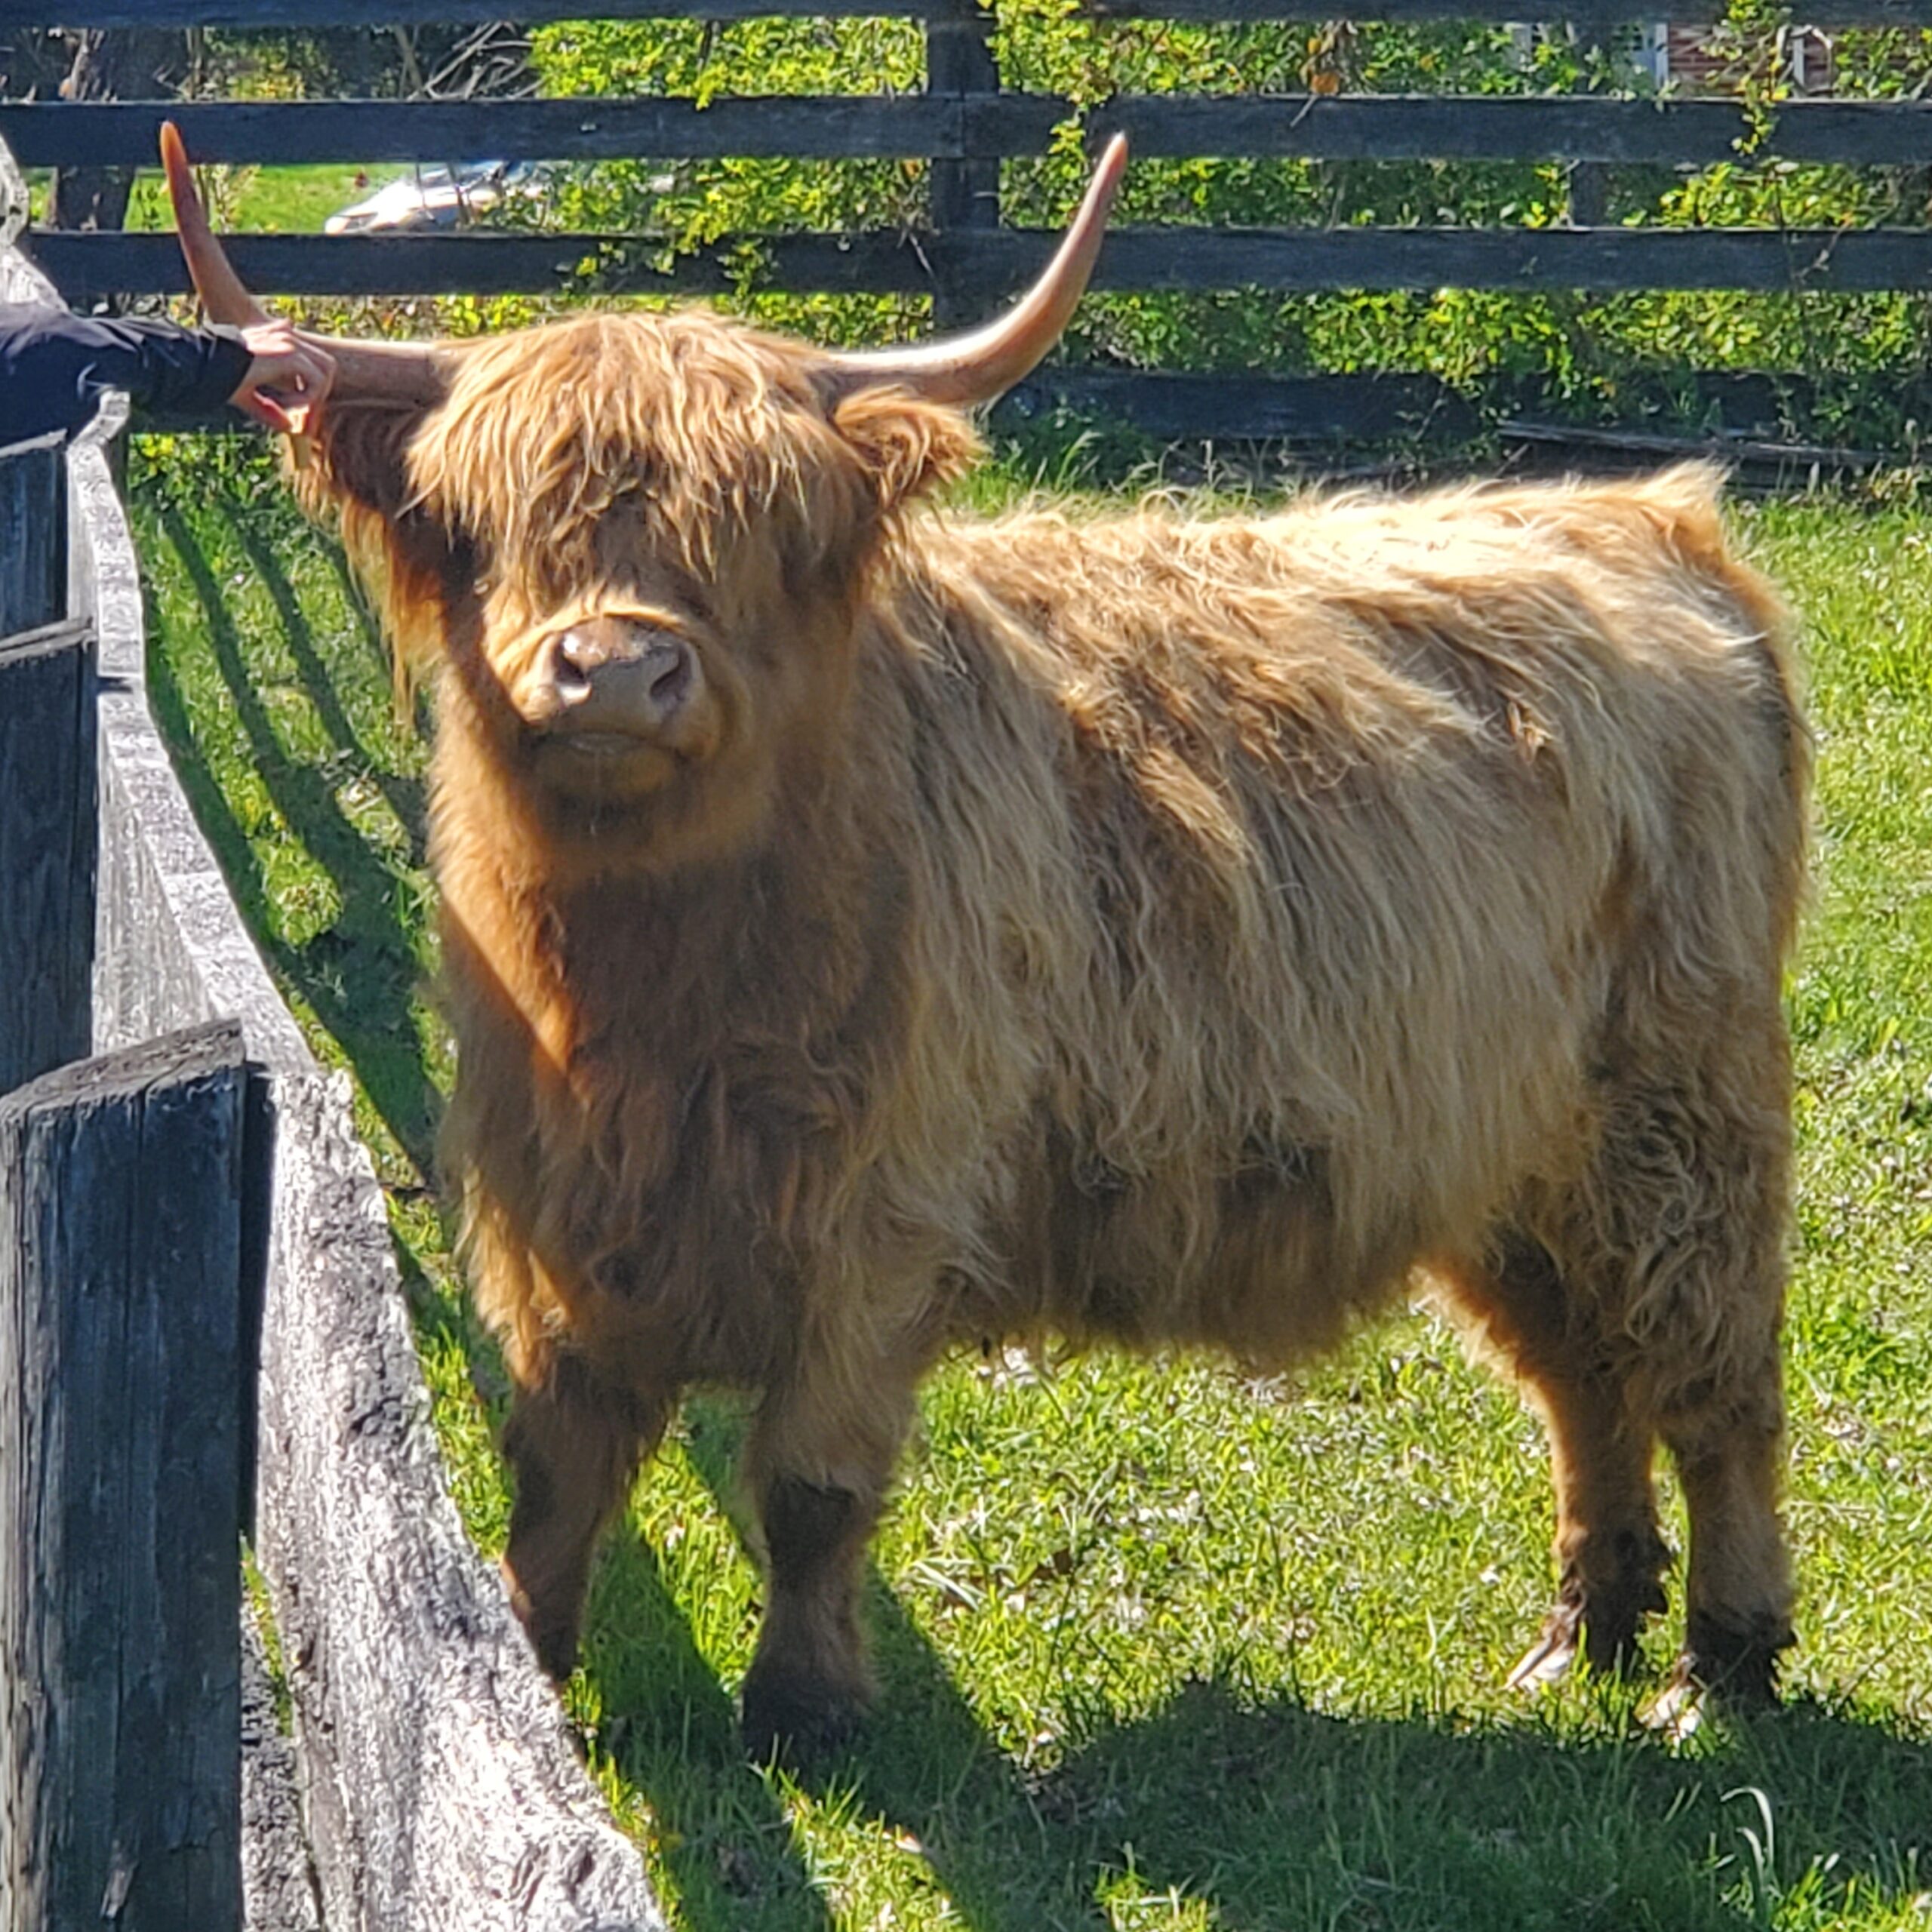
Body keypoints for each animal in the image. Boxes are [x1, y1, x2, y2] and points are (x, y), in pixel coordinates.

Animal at [162, 124, 1807, 1756]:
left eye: (766, 535)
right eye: (484, 523)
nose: (618, 672)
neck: (657, 995)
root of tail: (1647, 519)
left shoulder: (878, 1204)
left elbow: (810, 1485)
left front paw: (804, 1710)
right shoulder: (563, 1204)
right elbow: (558, 1460)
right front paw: (526, 1670)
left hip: (1679, 1109)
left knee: (1712, 1377)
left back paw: (1714, 1661)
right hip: (1513, 1144)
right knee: (1582, 1373)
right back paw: (1582, 1633)